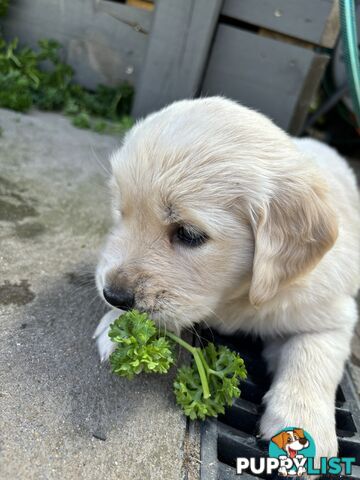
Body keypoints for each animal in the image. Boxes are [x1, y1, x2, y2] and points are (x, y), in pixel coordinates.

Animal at [93, 96, 360, 464]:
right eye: (121, 212)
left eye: (189, 234)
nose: (113, 295)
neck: (239, 296)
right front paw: (116, 325)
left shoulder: (331, 311)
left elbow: (312, 353)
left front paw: (302, 420)